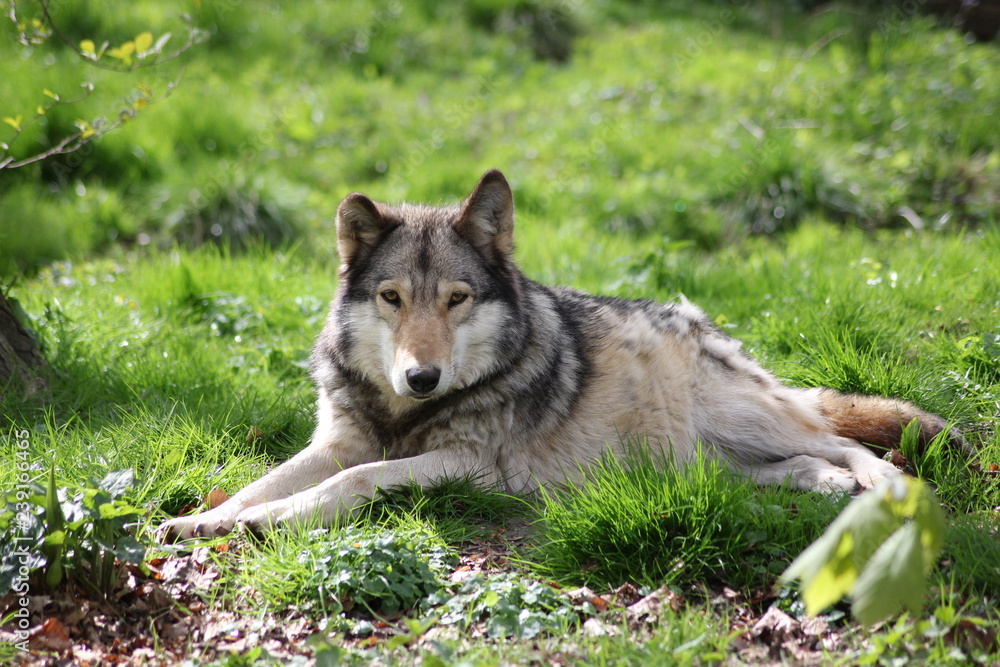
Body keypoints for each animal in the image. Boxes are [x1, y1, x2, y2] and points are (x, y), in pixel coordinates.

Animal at [158, 169, 962, 541]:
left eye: (455, 299)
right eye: (392, 298)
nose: (422, 375)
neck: (403, 415)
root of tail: (697, 319)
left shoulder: (472, 467)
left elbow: (353, 482)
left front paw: (264, 520)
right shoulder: (336, 440)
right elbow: (262, 482)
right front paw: (202, 522)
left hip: (740, 416)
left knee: (843, 440)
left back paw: (879, 483)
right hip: (690, 462)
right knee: (788, 465)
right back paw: (822, 485)